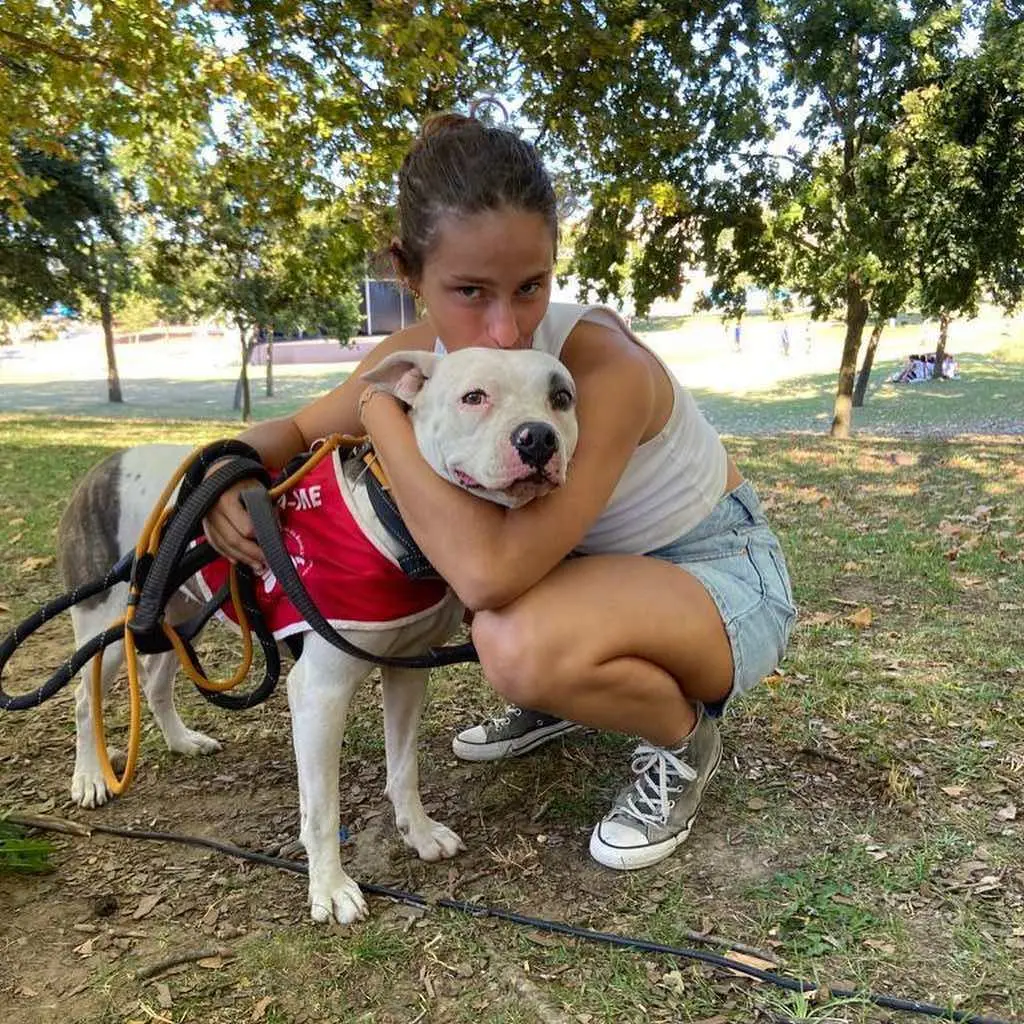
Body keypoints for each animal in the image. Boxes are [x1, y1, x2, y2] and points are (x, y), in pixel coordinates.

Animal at [59, 348, 581, 925]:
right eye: (474, 397)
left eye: (560, 398)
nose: (538, 438)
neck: (394, 518)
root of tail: (105, 463)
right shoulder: (319, 694)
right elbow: (324, 807)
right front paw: (330, 888)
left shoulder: (406, 671)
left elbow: (404, 767)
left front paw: (418, 833)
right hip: (105, 628)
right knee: (84, 697)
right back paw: (90, 778)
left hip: (174, 611)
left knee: (154, 680)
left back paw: (181, 741)